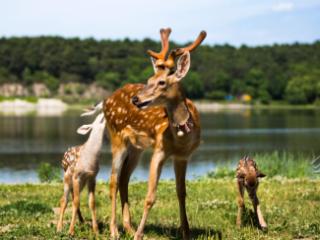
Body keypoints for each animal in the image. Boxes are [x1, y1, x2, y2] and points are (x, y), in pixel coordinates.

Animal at [85, 27, 205, 238]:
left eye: (162, 82)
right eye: (149, 80)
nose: (136, 99)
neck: (181, 139)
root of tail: (105, 101)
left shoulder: (183, 156)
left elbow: (181, 192)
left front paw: (186, 232)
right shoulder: (159, 150)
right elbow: (150, 196)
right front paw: (139, 235)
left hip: (136, 148)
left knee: (124, 178)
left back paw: (128, 226)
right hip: (117, 137)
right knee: (113, 180)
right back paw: (115, 231)